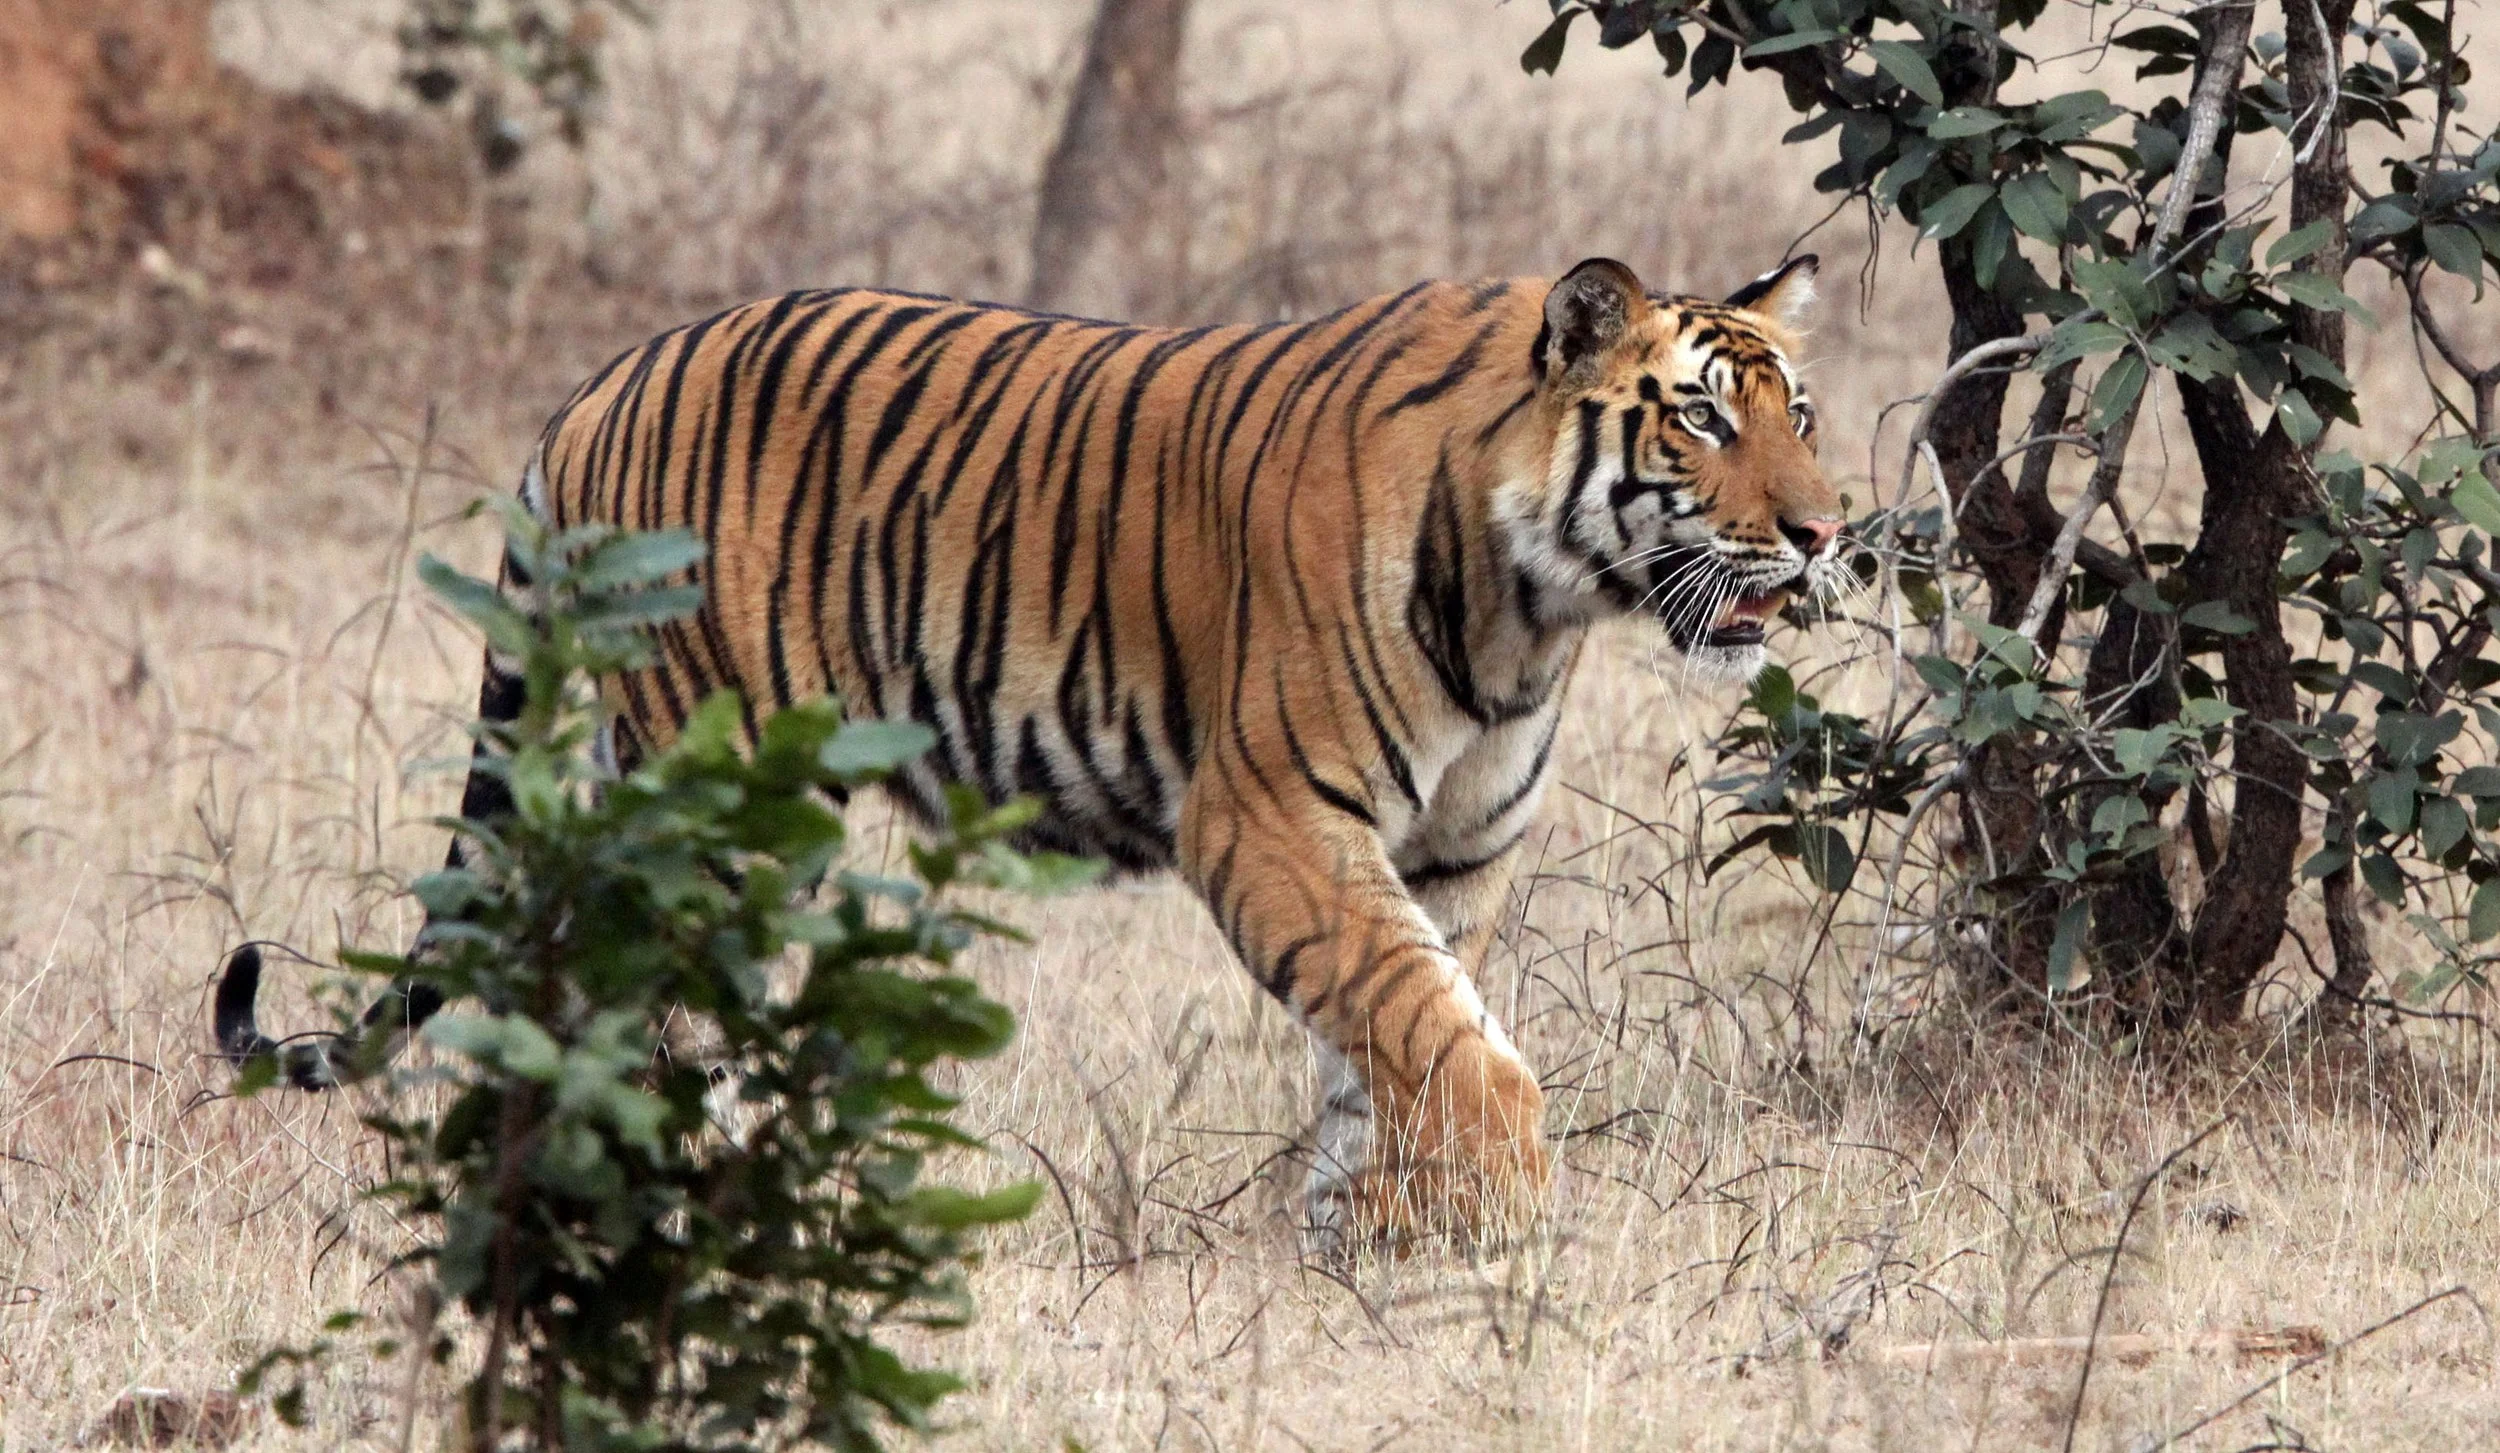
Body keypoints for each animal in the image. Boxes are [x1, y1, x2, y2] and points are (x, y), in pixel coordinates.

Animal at [218, 254, 1845, 1249]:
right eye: (1703, 421)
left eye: (1803, 414)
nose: (1827, 531)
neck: (1538, 604)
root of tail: (599, 384)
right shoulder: (1268, 816)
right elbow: (1438, 1033)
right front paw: (1503, 1209)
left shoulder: (1453, 850)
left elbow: (1385, 1042)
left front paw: (1366, 1244)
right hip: (717, 783)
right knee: (667, 1003)